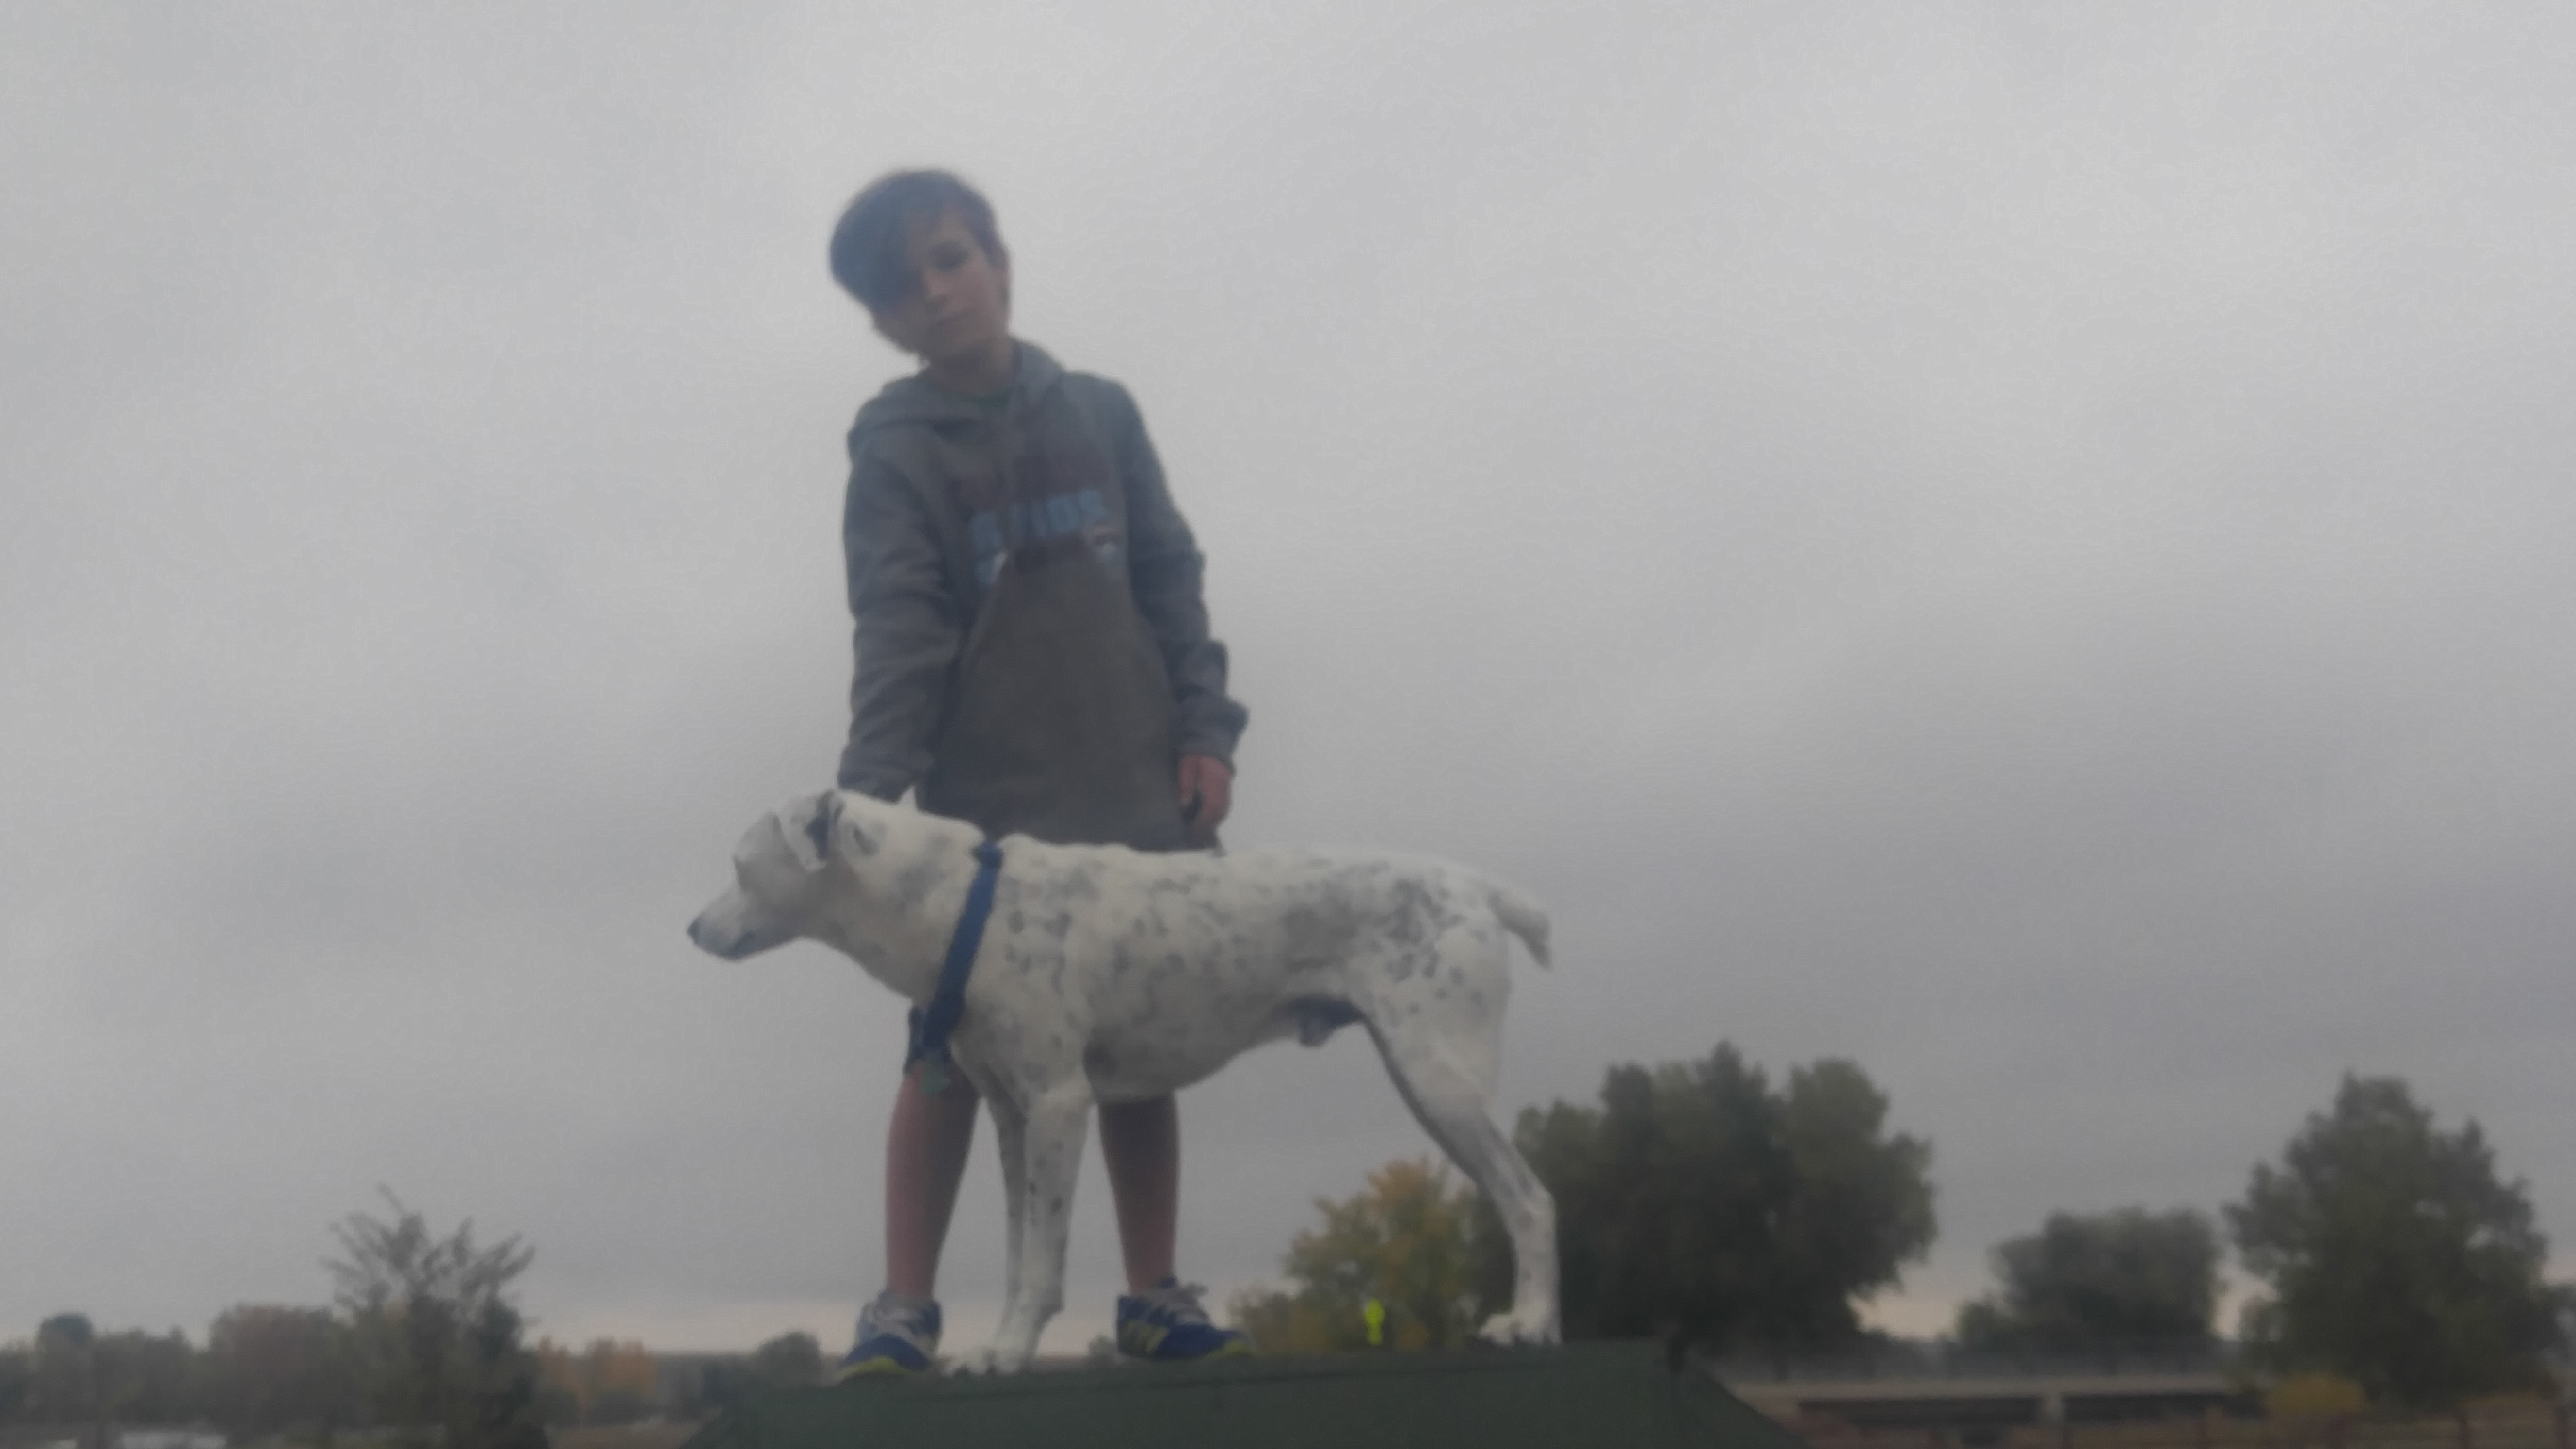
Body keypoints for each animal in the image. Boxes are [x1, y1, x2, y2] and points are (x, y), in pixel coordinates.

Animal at [687, 789, 1560, 1372]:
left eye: (738, 865)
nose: (692, 928)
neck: (965, 904)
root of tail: (1480, 890)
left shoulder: (1057, 1104)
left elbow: (1042, 1261)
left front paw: (1007, 1352)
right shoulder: (1011, 1117)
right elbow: (1017, 1252)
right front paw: (1000, 1344)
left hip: (1440, 1079)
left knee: (1530, 1200)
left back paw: (1527, 1323)